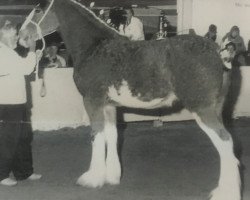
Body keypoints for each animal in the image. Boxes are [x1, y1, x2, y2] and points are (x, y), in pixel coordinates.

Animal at [20, 0, 242, 199]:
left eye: (38, 10)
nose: (21, 37)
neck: (96, 47)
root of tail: (218, 53)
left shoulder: (92, 102)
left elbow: (96, 135)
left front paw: (92, 179)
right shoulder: (109, 106)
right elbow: (112, 135)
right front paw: (112, 176)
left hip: (202, 109)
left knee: (225, 141)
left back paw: (226, 193)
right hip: (216, 108)